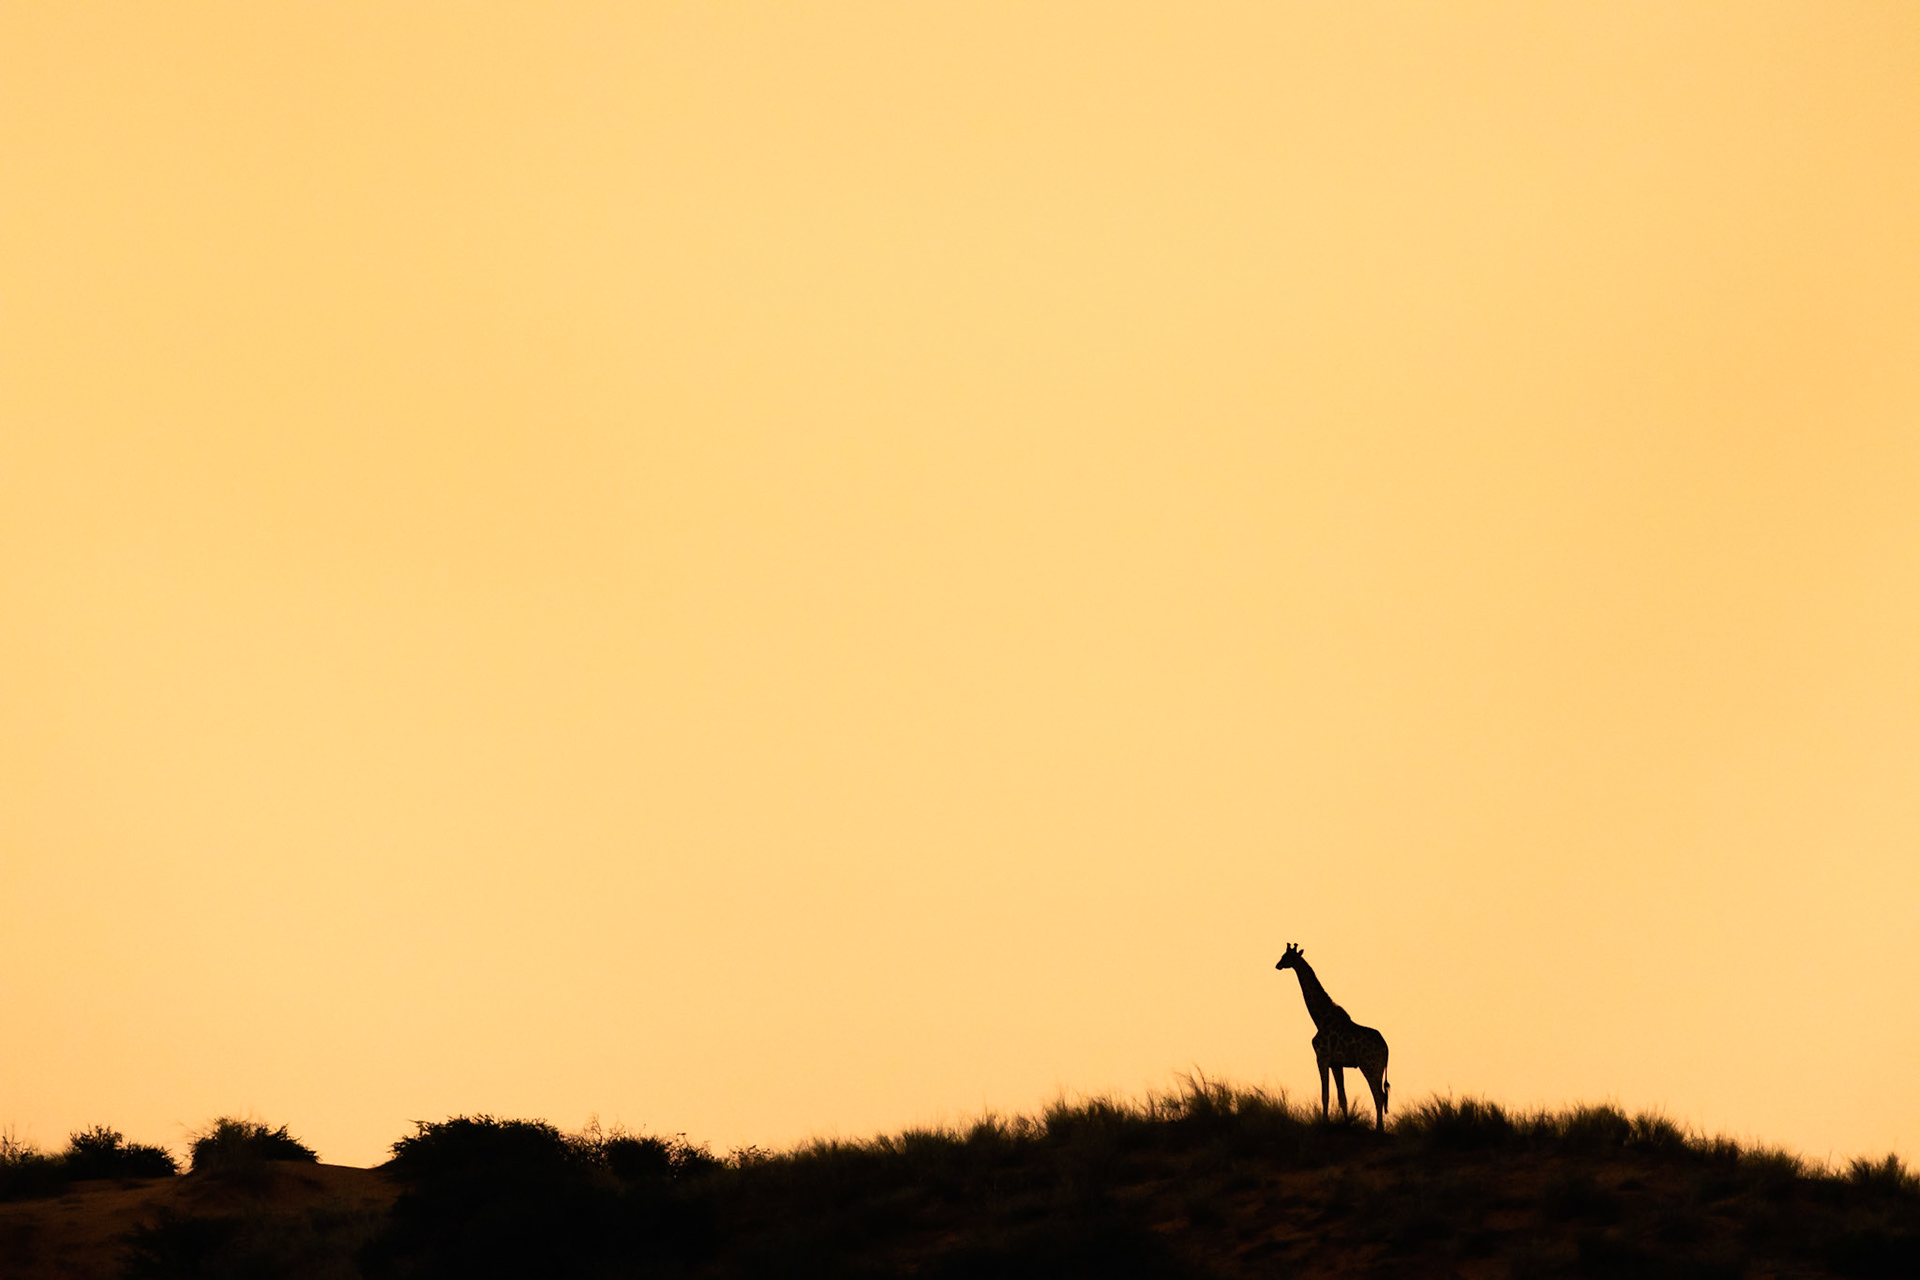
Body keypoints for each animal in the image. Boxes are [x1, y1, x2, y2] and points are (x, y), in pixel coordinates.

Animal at [1275, 942, 1391, 1129]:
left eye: (1287, 957)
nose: (1277, 965)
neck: (1320, 1019)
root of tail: (1386, 1048)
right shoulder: (1337, 1064)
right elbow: (1342, 1097)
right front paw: (1346, 1123)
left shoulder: (1322, 1058)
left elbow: (1325, 1094)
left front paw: (1325, 1122)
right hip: (1378, 1067)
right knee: (1381, 1095)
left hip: (1370, 1065)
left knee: (1379, 1096)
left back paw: (1379, 1128)